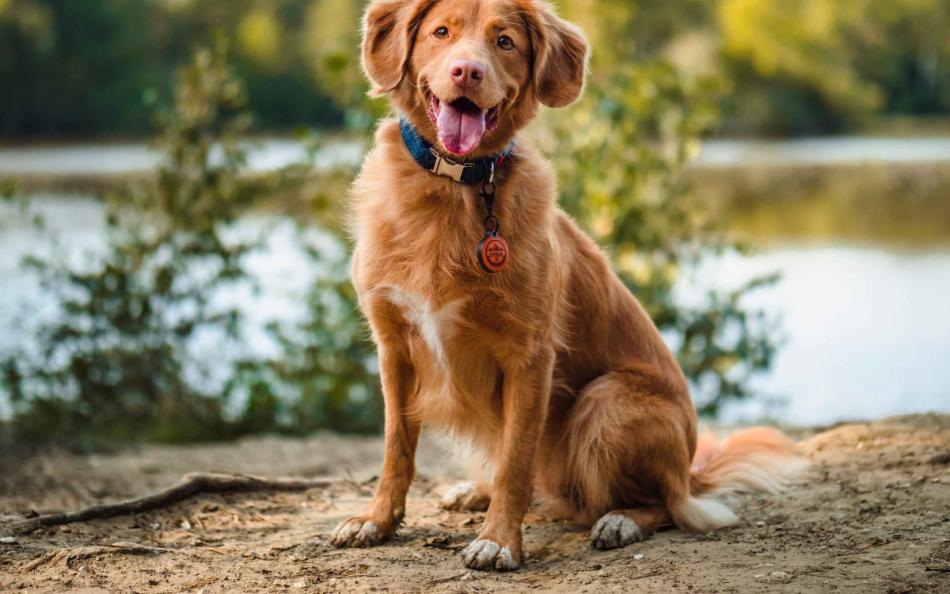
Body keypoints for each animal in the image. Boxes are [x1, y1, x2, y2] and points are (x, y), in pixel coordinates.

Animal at [332, 0, 804, 568]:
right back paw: (474, 491)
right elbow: (396, 448)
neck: (454, 188)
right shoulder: (395, 347)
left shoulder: (530, 354)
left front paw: (499, 540)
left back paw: (621, 520)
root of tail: (691, 470)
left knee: (666, 504)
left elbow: (515, 459)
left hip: (607, 403)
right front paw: (377, 520)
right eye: (441, 32)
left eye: (505, 42)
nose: (467, 71)